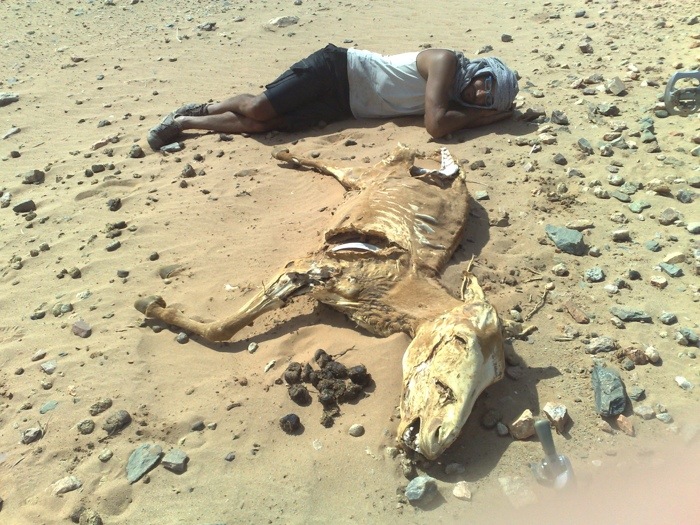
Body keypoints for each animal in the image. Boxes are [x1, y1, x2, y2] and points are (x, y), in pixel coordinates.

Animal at [135, 144, 505, 460]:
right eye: (459, 340)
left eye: (494, 381)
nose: (437, 438)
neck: (396, 286)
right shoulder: (309, 266)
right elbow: (223, 328)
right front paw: (152, 306)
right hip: (371, 172)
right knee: (338, 165)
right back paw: (283, 154)